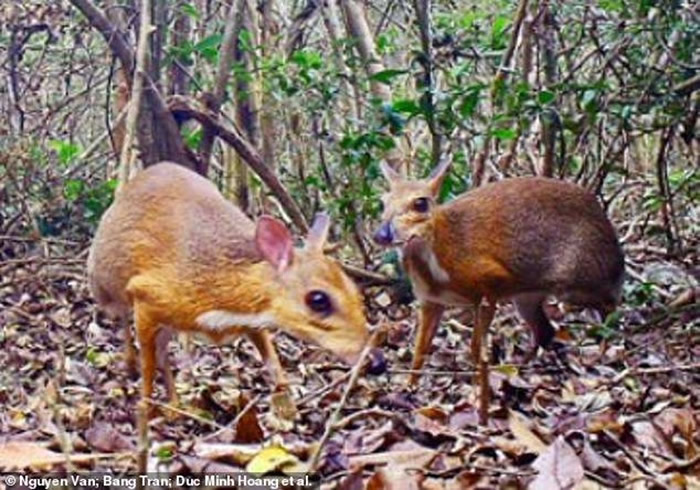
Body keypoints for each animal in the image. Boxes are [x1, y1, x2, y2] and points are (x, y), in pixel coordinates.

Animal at [87, 163, 370, 416]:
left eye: (355, 291)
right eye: (318, 299)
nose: (375, 361)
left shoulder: (253, 320)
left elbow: (273, 361)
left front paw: (288, 409)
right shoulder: (146, 294)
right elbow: (148, 366)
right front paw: (145, 408)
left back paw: (175, 406)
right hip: (106, 288)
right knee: (126, 322)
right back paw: (131, 367)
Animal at [374, 159, 628, 396]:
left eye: (421, 203)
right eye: (382, 202)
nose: (381, 234)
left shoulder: (490, 286)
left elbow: (476, 347)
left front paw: (477, 389)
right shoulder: (430, 301)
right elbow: (420, 350)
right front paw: (408, 387)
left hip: (579, 282)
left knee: (612, 307)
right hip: (526, 297)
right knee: (546, 330)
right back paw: (520, 368)